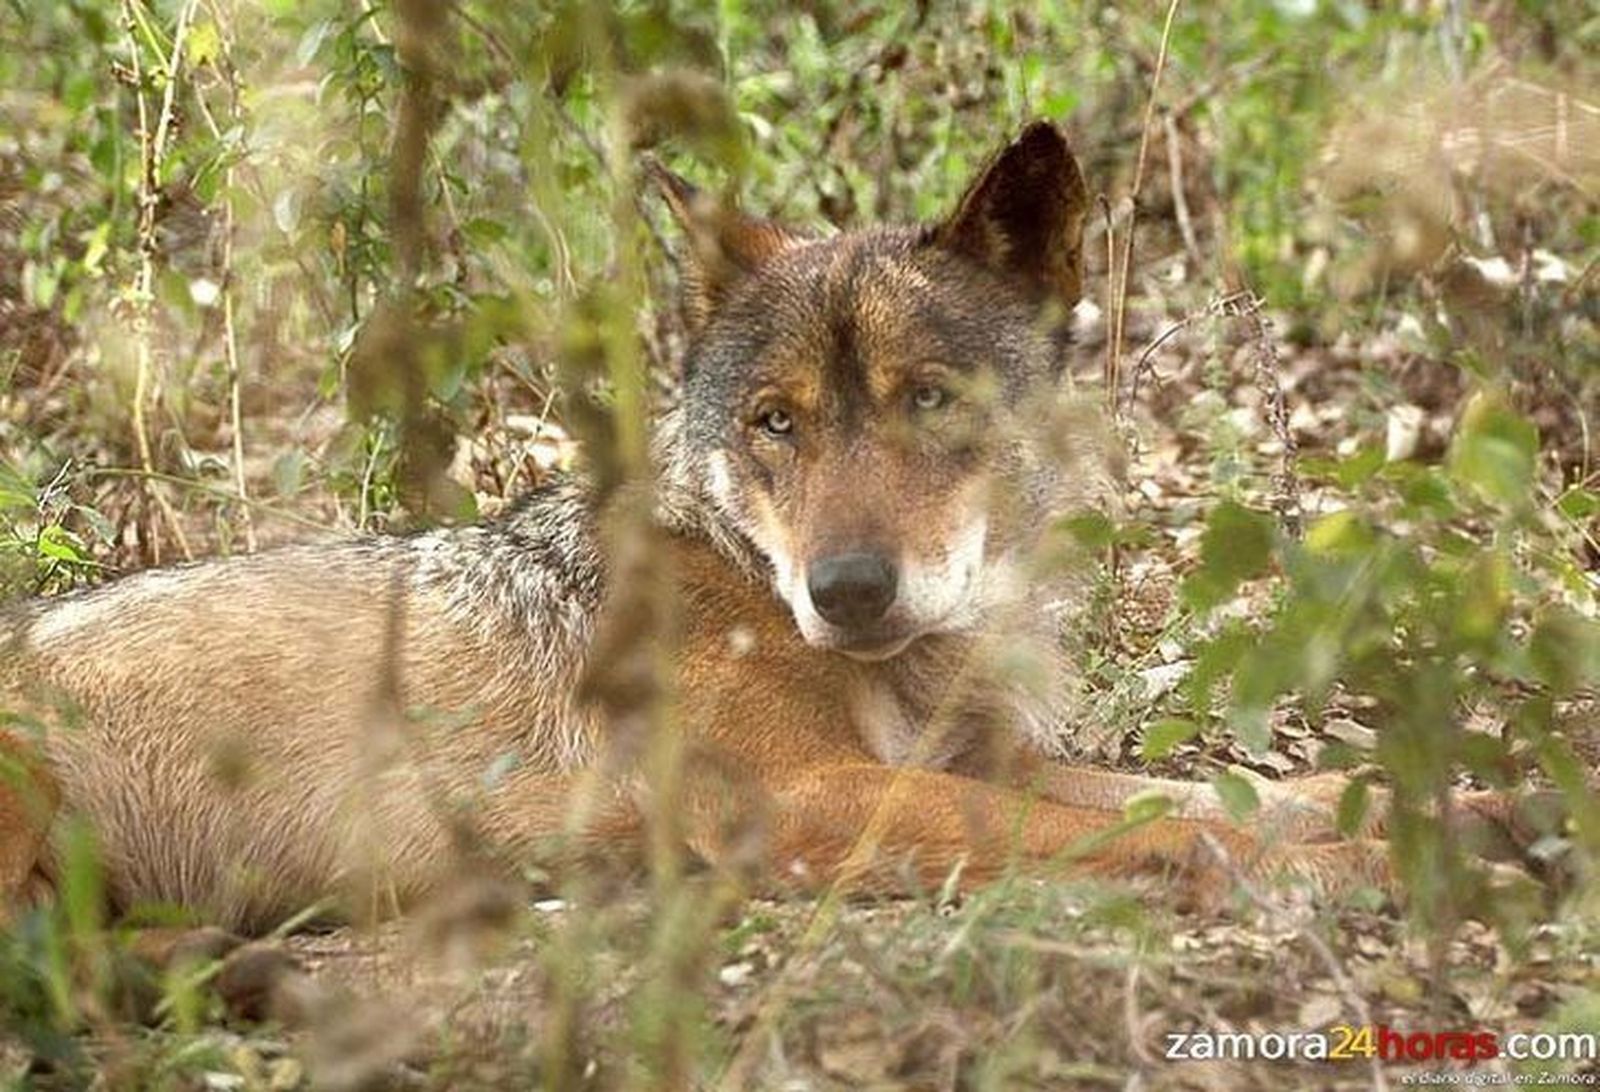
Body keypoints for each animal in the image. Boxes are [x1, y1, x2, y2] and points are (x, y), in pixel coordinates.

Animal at [1, 123, 1503, 949]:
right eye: (774, 422)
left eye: (928, 400)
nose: (847, 590)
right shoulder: (815, 797)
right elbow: (1168, 836)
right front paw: (1378, 867)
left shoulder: (985, 759)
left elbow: (1195, 793)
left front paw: (1467, 805)